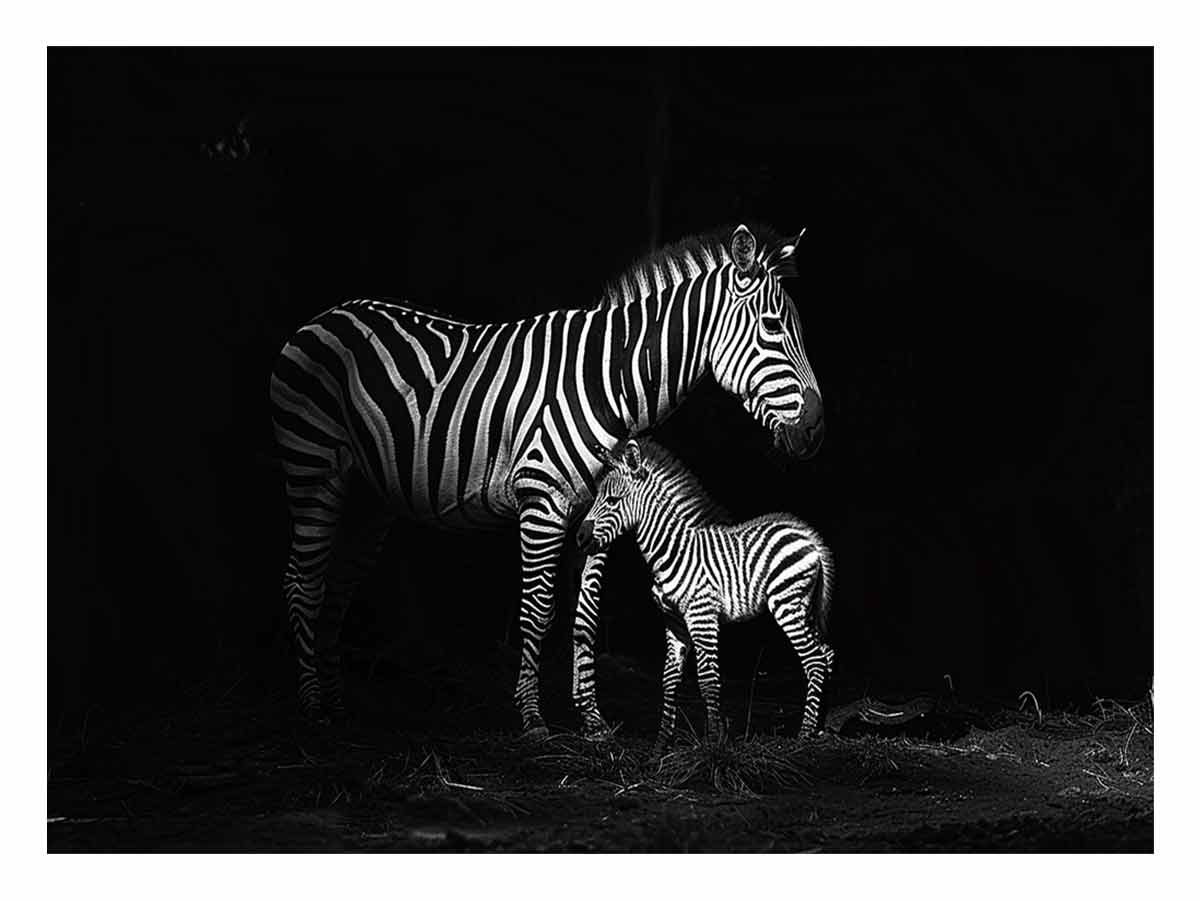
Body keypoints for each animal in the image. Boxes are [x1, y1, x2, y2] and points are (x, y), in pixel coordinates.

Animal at [576, 438, 834, 750]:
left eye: (613, 501)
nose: (579, 538)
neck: (671, 551)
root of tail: (808, 536)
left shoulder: (702, 615)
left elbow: (708, 680)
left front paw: (714, 745)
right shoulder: (673, 621)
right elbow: (669, 679)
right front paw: (661, 745)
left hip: (786, 603)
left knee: (814, 660)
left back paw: (804, 736)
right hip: (803, 606)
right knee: (827, 654)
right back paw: (821, 725)